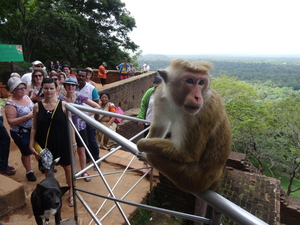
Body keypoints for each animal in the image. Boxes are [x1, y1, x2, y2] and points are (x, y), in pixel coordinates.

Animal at [137, 59, 232, 194]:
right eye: (190, 81)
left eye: (201, 82)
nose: (197, 97)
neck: (177, 104)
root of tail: (215, 179)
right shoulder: (160, 95)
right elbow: (160, 124)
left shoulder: (199, 114)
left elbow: (186, 153)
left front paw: (141, 144)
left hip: (191, 179)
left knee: (155, 155)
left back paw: (148, 156)